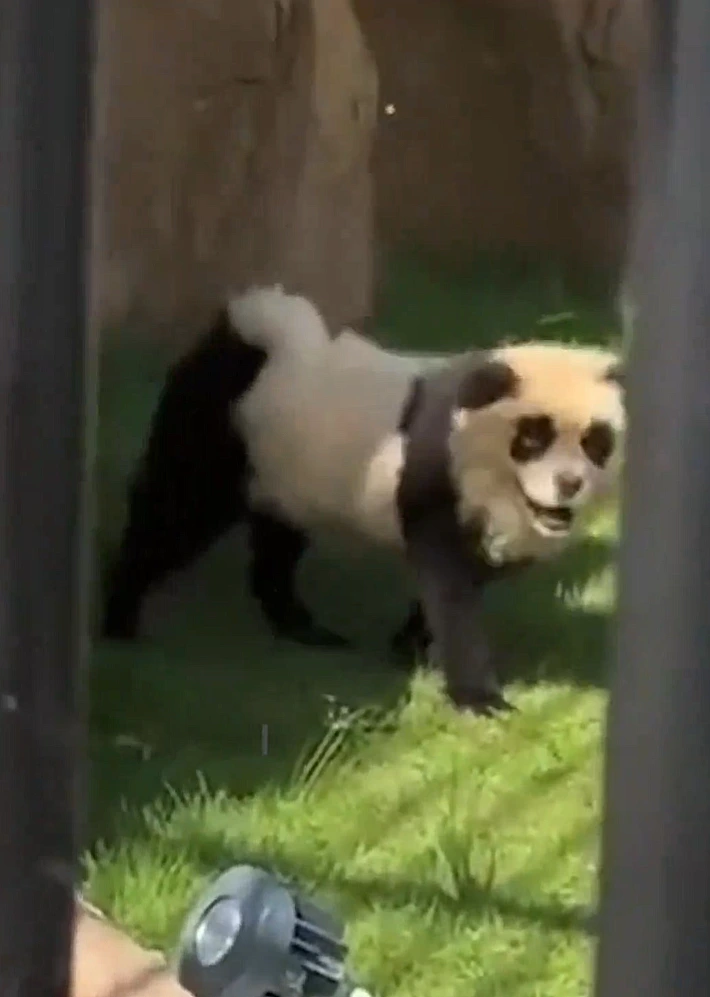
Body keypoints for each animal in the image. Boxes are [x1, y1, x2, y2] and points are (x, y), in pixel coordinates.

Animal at [102, 285, 625, 715]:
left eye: (596, 442)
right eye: (532, 438)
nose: (568, 484)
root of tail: (243, 331)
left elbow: (457, 583)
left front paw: (409, 648)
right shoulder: (436, 474)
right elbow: (450, 588)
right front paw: (480, 699)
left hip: (288, 469)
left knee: (277, 545)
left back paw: (302, 627)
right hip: (217, 433)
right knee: (174, 514)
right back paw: (119, 621)